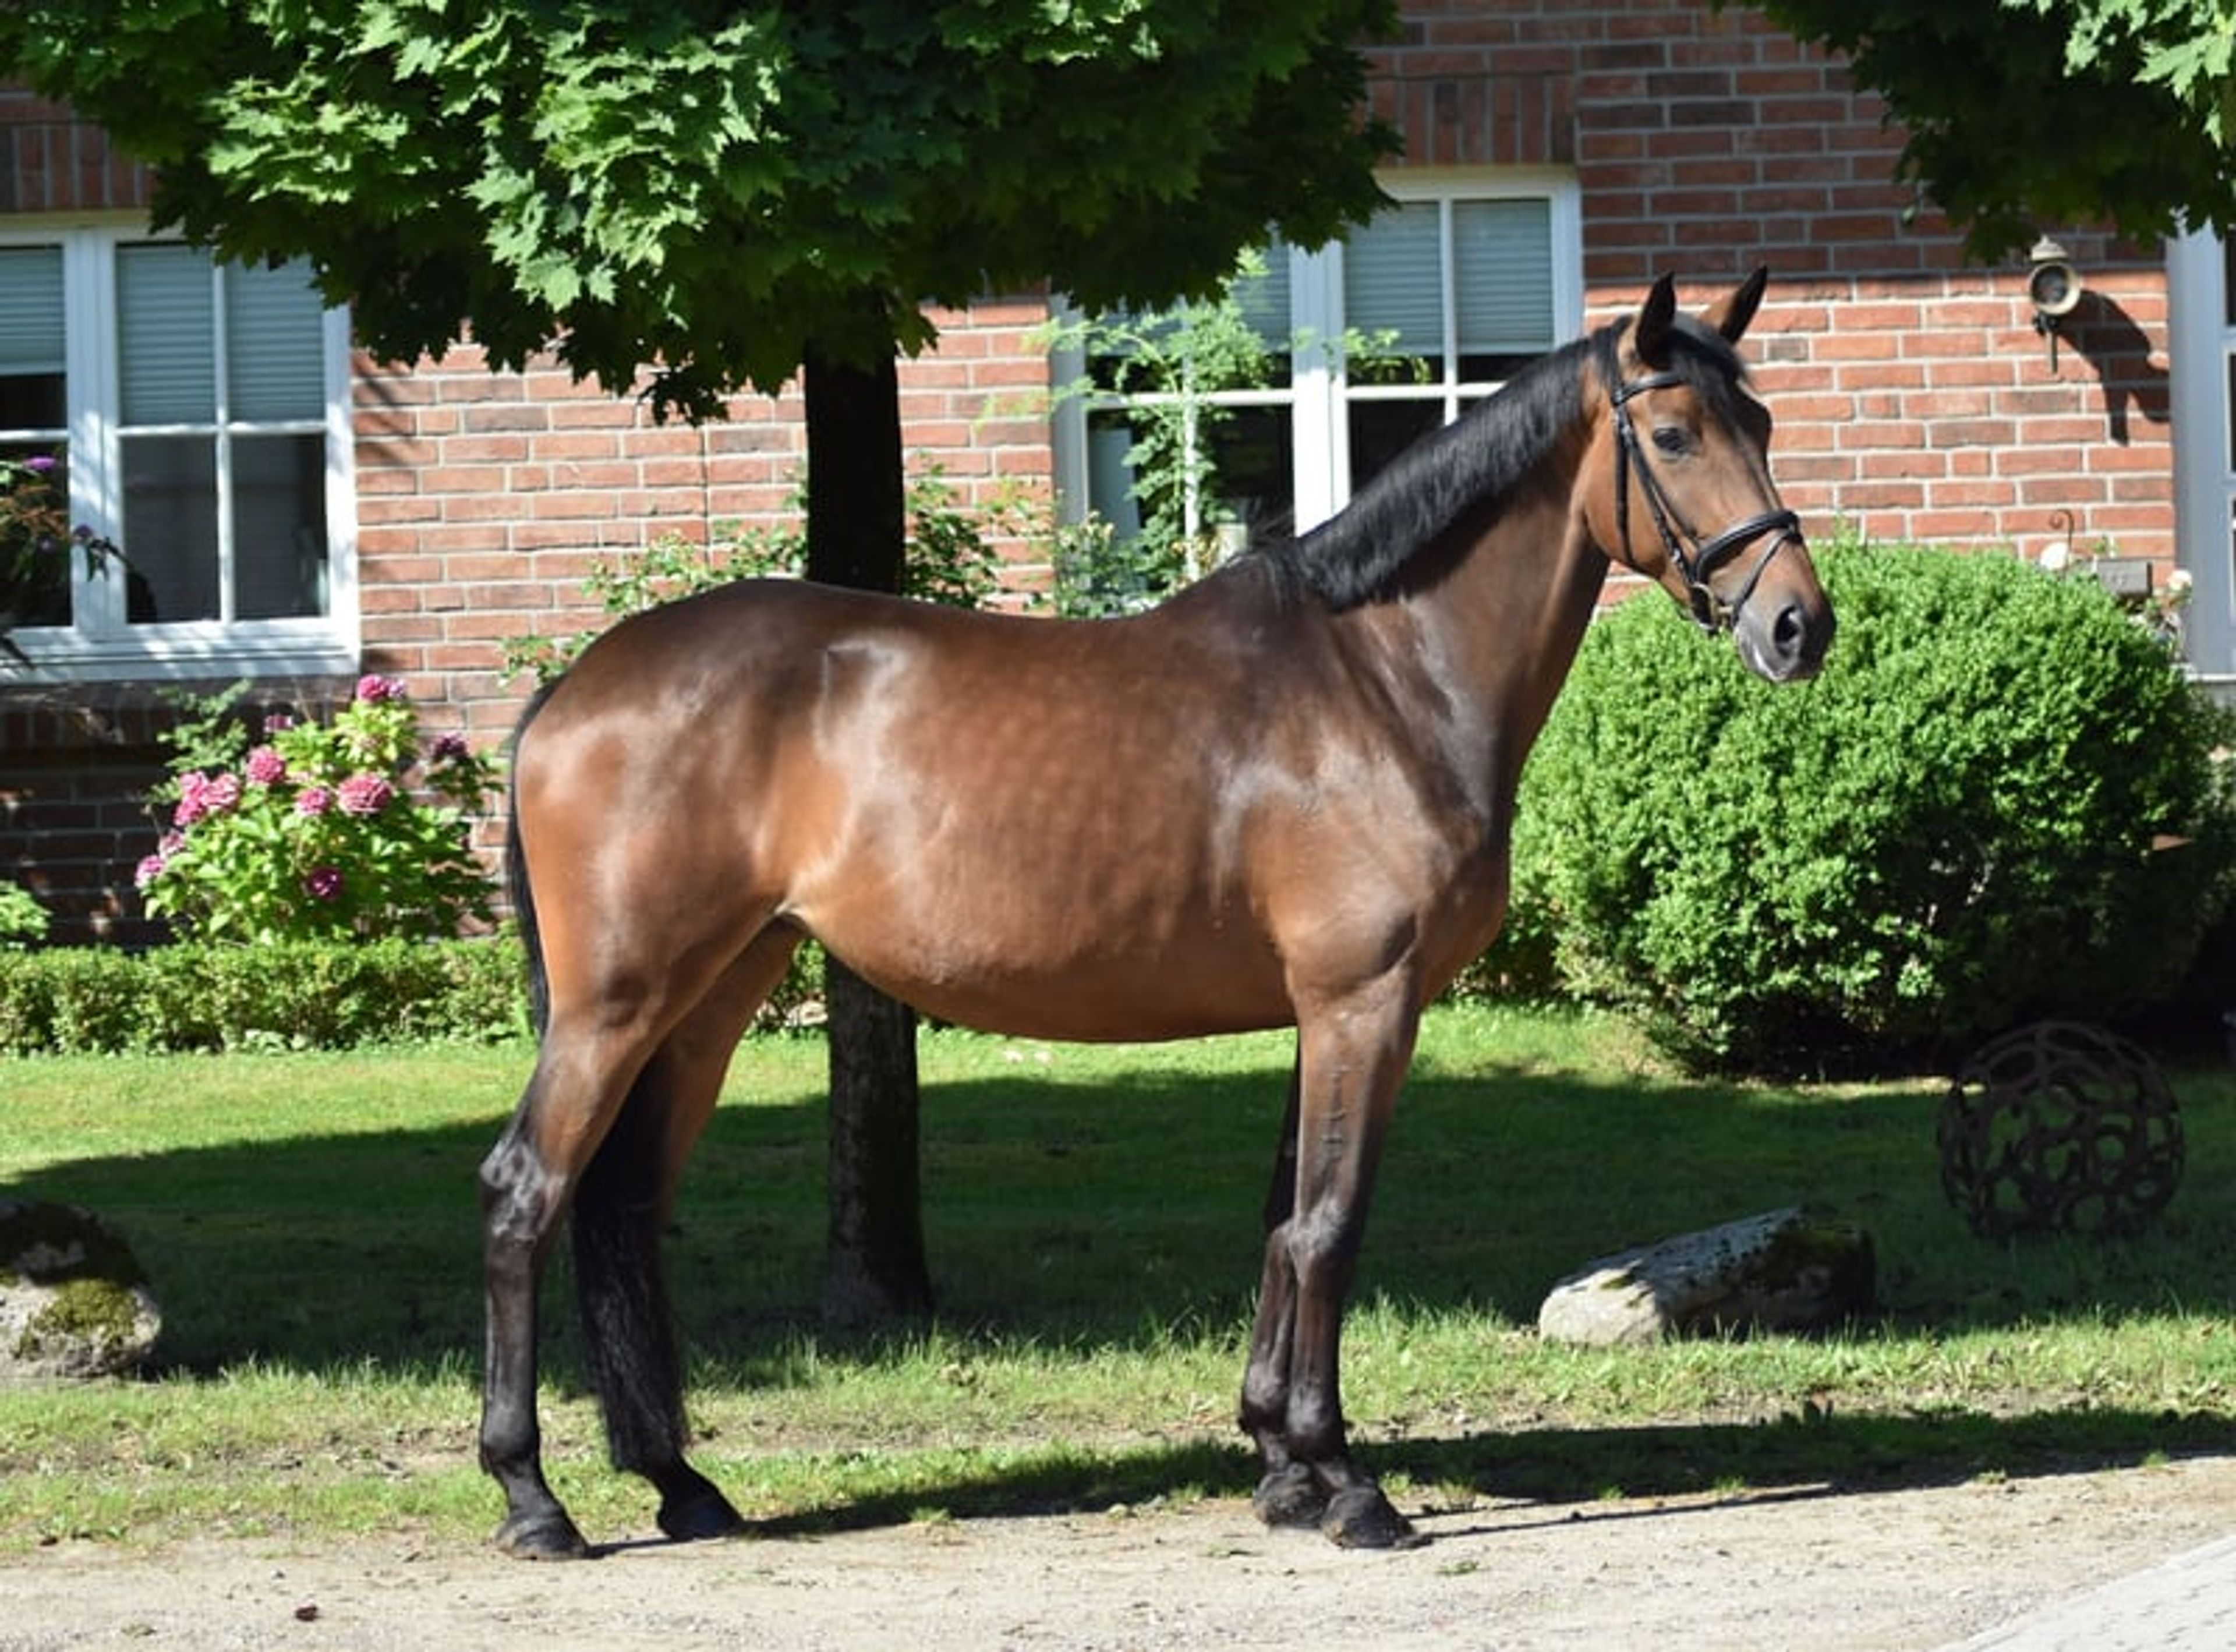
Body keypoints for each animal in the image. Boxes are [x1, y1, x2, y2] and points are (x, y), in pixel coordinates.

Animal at [477, 269, 1834, 1559]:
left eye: (1763, 421)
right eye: (1673, 433)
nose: (1798, 625)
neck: (1382, 679)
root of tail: (574, 689)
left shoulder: (1319, 1013)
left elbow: (1284, 1222)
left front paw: (1283, 1466)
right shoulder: (1365, 1002)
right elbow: (1329, 1229)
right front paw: (1349, 1486)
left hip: (712, 997)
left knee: (623, 1205)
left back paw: (678, 1480)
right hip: (617, 1005)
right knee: (525, 1193)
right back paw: (535, 1498)